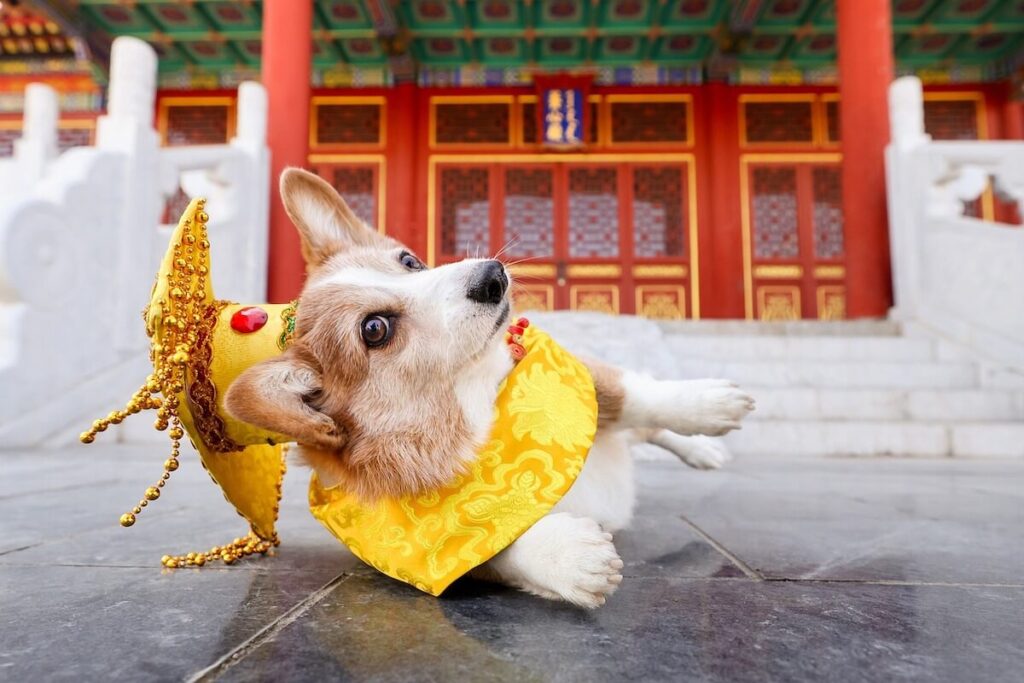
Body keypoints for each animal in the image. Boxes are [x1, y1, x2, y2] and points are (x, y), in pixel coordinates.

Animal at [224, 167, 753, 606]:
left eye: (410, 261)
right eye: (374, 329)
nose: (492, 275)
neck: (468, 401)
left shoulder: (574, 374)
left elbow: (636, 397)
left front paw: (709, 405)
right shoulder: (428, 553)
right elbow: (492, 547)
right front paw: (570, 557)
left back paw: (706, 447)